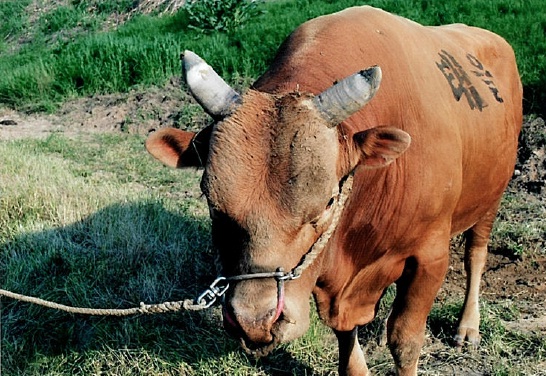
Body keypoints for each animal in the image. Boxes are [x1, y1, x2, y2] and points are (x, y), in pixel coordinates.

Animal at [147, 5, 520, 376]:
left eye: (327, 203)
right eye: (212, 203)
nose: (254, 322)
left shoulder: (430, 258)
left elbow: (406, 340)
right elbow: (348, 344)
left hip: (491, 198)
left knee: (476, 254)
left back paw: (468, 326)